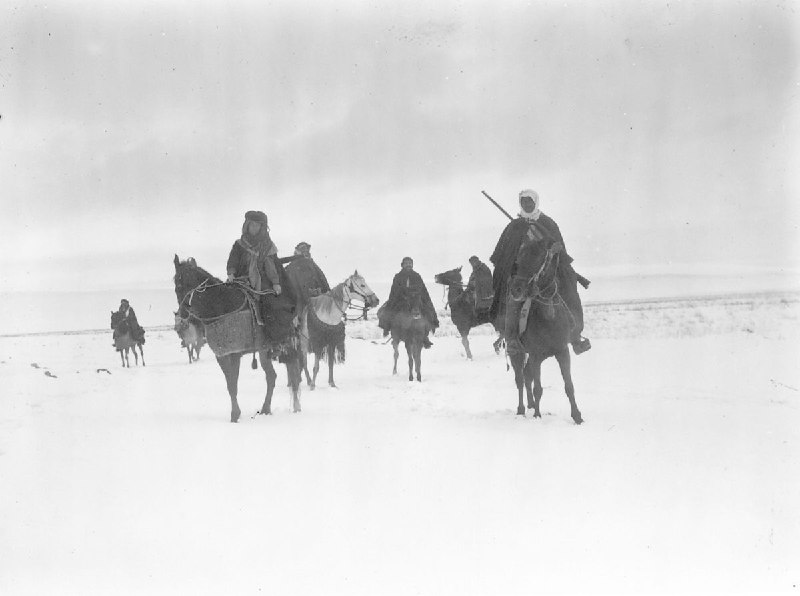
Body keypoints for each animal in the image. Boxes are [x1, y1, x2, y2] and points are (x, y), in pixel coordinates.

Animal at [173, 254, 302, 422]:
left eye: (189, 283)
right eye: (177, 285)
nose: (182, 314)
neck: (222, 307)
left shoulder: (234, 354)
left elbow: (233, 384)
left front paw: (235, 415)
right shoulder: (222, 355)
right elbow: (230, 384)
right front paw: (235, 414)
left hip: (286, 344)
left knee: (291, 374)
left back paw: (292, 407)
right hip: (264, 351)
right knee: (273, 376)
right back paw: (268, 408)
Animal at [512, 237, 580, 424]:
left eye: (537, 258)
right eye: (519, 260)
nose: (516, 289)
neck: (549, 318)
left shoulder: (562, 352)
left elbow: (569, 386)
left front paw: (577, 416)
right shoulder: (535, 355)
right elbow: (538, 388)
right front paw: (537, 416)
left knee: (526, 376)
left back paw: (530, 405)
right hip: (517, 353)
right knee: (520, 379)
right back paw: (522, 409)